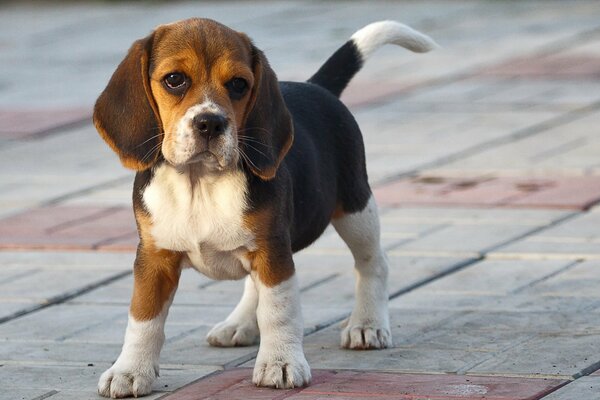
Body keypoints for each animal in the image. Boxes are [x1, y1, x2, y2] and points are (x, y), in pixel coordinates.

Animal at [95, 18, 436, 396]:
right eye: (174, 79)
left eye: (238, 84)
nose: (210, 123)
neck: (201, 182)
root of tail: (316, 86)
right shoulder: (155, 259)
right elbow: (143, 318)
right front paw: (130, 370)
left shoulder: (273, 252)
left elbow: (277, 311)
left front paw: (280, 363)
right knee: (252, 285)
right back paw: (239, 323)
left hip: (355, 208)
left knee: (373, 261)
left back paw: (368, 323)